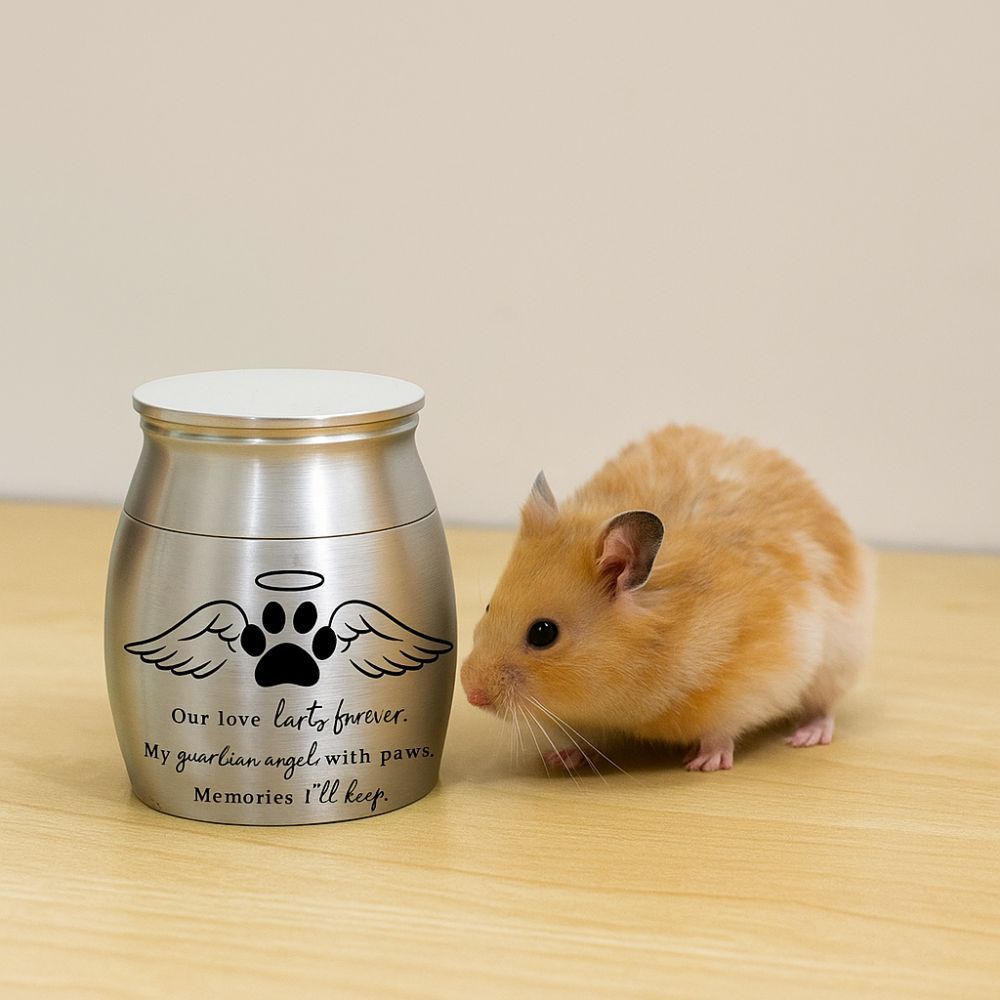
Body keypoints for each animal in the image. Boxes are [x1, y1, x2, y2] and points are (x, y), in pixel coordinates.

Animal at [460, 425, 874, 772]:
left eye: (543, 633)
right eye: (488, 607)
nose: (469, 692)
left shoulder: (756, 674)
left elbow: (724, 728)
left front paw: (704, 763)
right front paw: (561, 758)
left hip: (838, 659)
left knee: (823, 707)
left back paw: (806, 737)